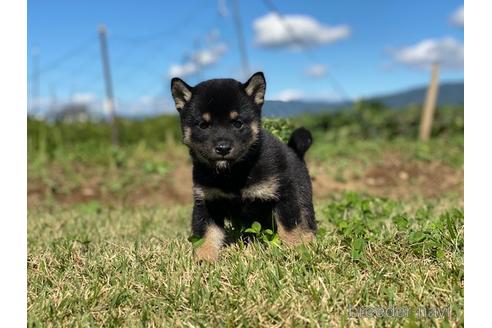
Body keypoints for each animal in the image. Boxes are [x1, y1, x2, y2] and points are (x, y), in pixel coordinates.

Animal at [171, 72, 318, 262]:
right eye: (203, 125)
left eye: (238, 123)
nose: (223, 148)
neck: (232, 174)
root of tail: (295, 151)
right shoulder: (206, 201)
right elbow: (206, 234)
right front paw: (204, 259)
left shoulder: (284, 194)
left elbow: (290, 227)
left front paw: (295, 251)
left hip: (302, 195)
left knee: (307, 221)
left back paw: (309, 241)